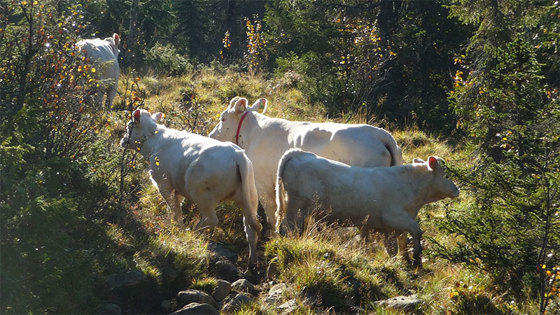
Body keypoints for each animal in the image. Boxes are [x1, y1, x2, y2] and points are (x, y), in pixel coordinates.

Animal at [209, 97, 402, 236]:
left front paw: (272, 235)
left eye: (223, 118)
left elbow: (272, 213)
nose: (211, 135)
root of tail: (381, 134)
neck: (253, 134)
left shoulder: (263, 183)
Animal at [276, 149, 460, 268]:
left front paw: (403, 261)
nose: (457, 190)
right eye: (446, 174)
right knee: (287, 229)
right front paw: (416, 260)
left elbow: (393, 246)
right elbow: (416, 231)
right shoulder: (396, 218)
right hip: (296, 209)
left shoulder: (386, 228)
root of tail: (299, 153)